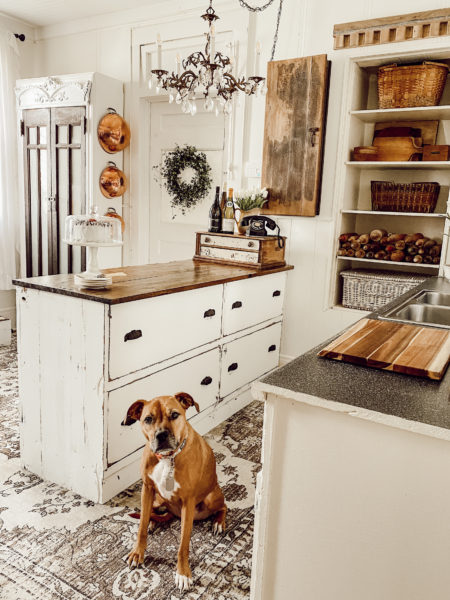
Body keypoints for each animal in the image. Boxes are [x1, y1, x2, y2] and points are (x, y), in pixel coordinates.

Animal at [121, 394, 227, 592]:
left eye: (174, 415)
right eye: (148, 419)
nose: (161, 435)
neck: (168, 458)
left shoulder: (188, 502)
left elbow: (183, 545)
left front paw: (183, 573)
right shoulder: (147, 489)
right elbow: (141, 528)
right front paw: (137, 552)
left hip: (211, 498)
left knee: (224, 506)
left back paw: (218, 522)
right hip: (157, 499)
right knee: (152, 513)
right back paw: (153, 521)